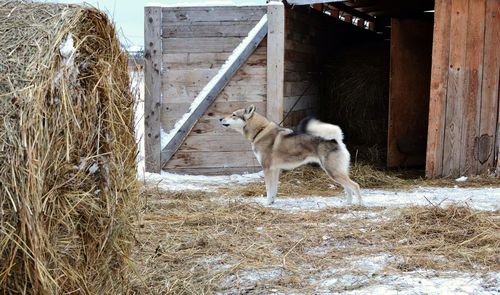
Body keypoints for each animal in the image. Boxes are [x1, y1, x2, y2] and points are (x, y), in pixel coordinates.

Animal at [221, 106, 362, 206]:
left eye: (233, 114)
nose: (220, 119)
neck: (260, 131)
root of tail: (336, 140)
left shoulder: (267, 169)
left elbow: (268, 189)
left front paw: (267, 203)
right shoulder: (275, 170)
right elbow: (273, 189)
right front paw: (272, 202)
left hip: (333, 172)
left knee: (355, 186)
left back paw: (359, 204)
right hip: (337, 172)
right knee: (348, 188)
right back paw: (347, 204)